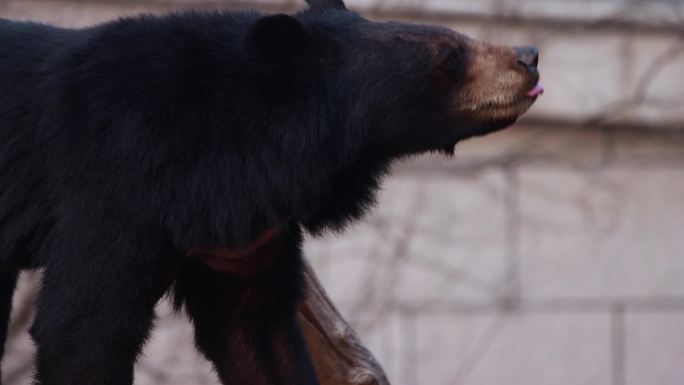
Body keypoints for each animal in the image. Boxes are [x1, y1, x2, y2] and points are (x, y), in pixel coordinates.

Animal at [1, 0, 544, 382]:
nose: (530, 56)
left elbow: (254, 329)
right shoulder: (115, 186)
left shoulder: (238, 236)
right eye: (450, 53)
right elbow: (82, 326)